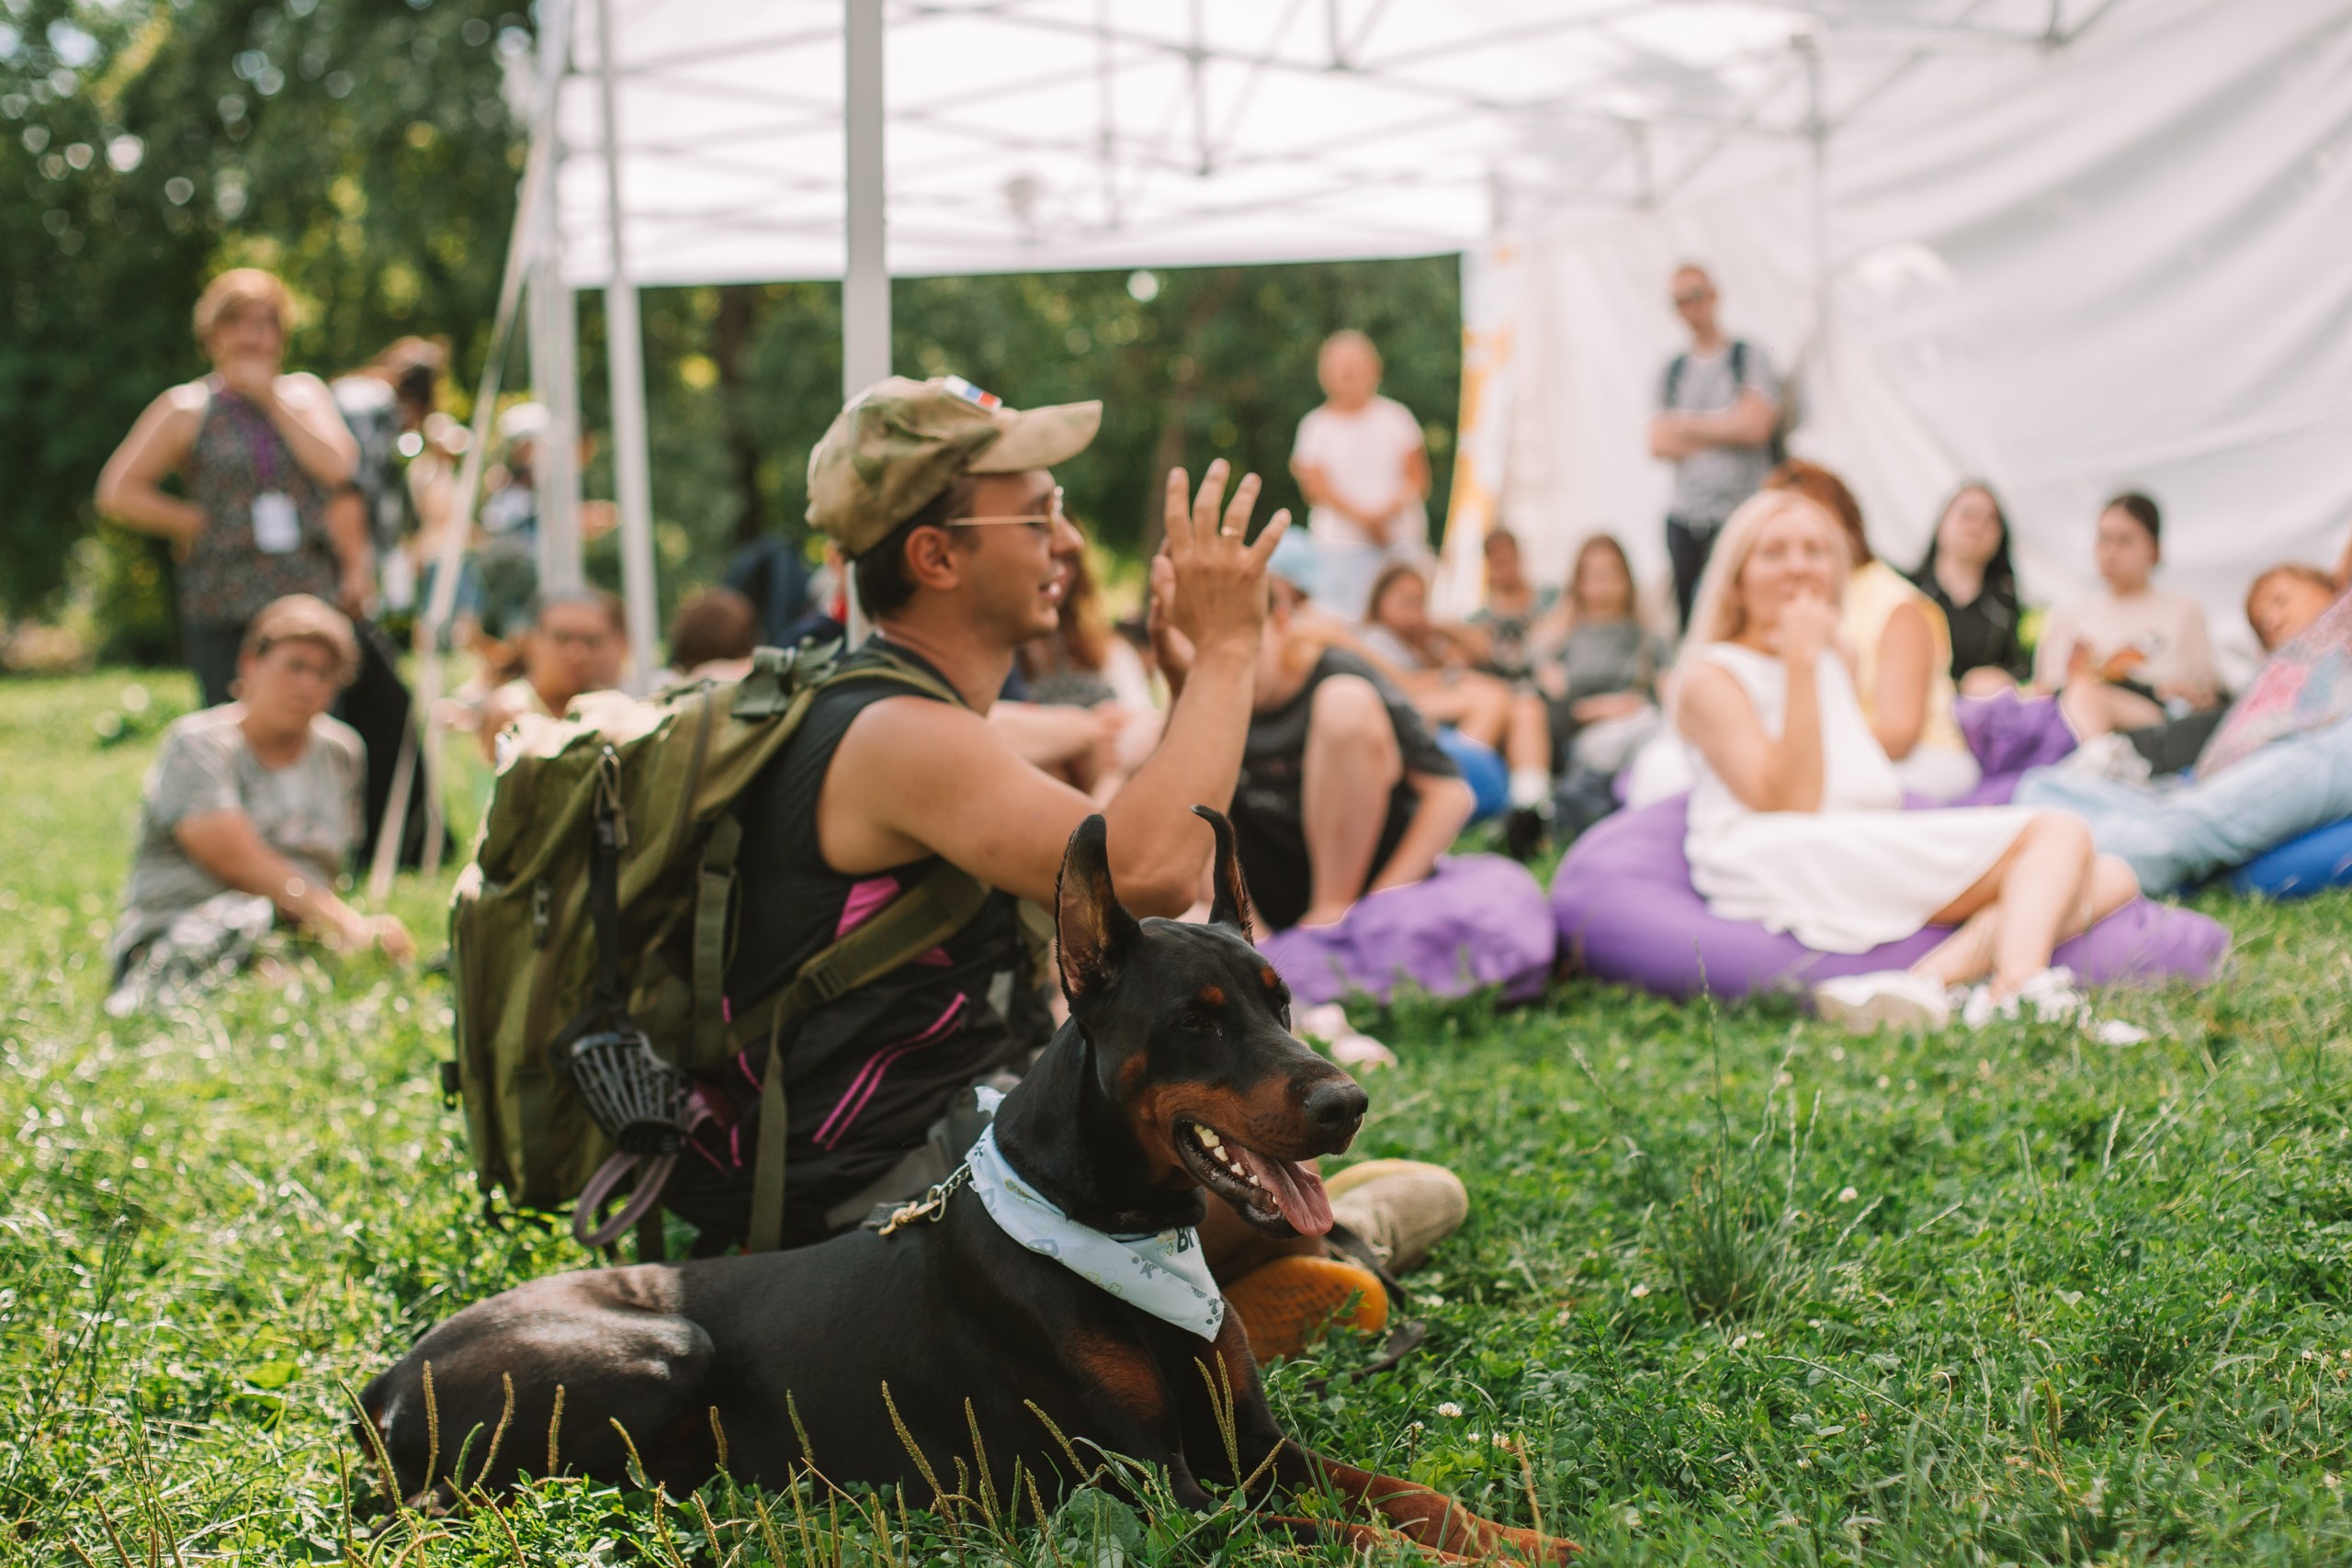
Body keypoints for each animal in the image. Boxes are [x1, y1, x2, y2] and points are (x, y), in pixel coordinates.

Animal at [367, 818, 1571, 1561]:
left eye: (1281, 999)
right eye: (1198, 1019)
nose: (1345, 1103)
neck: (1120, 1230)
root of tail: (377, 1386)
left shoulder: (1253, 1447)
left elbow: (1409, 1497)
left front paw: (1534, 1539)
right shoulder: (1159, 1484)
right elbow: (1353, 1535)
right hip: (665, 1345)